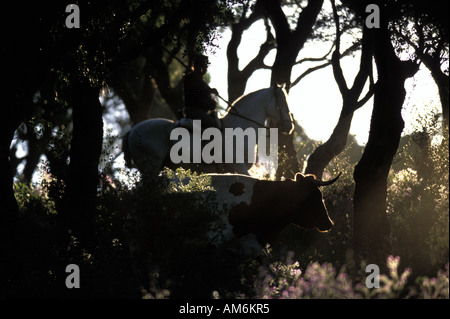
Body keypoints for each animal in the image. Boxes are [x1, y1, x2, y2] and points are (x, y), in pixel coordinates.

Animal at [121, 85, 294, 178]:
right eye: (283, 103)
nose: (289, 127)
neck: (240, 128)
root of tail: (133, 130)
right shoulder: (239, 167)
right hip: (150, 168)